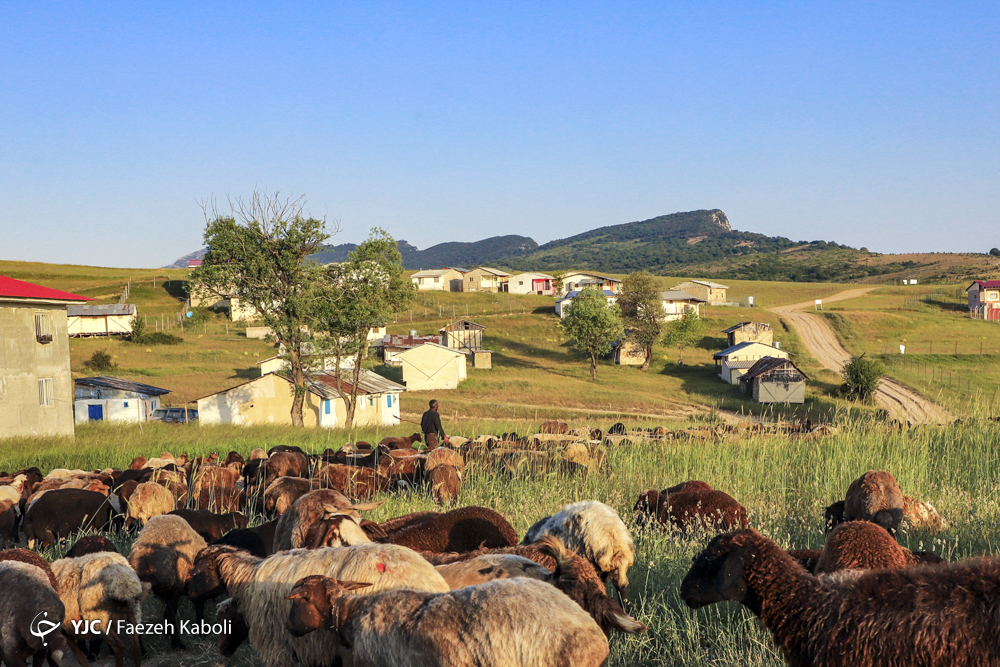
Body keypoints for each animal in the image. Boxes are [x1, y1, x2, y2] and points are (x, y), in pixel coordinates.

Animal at [128, 516, 208, 648]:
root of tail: (145, 556)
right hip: (175, 585)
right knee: (169, 614)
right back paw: (178, 644)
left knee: (136, 618)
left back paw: (142, 649)